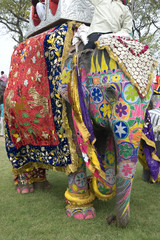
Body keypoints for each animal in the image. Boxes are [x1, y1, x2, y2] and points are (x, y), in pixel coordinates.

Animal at [4, 22, 157, 227]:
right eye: (110, 92)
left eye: (151, 99)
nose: (111, 219)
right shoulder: (67, 102)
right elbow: (75, 153)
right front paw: (81, 212)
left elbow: (107, 145)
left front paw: (98, 187)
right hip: (10, 121)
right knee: (19, 157)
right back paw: (25, 187)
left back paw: (43, 185)